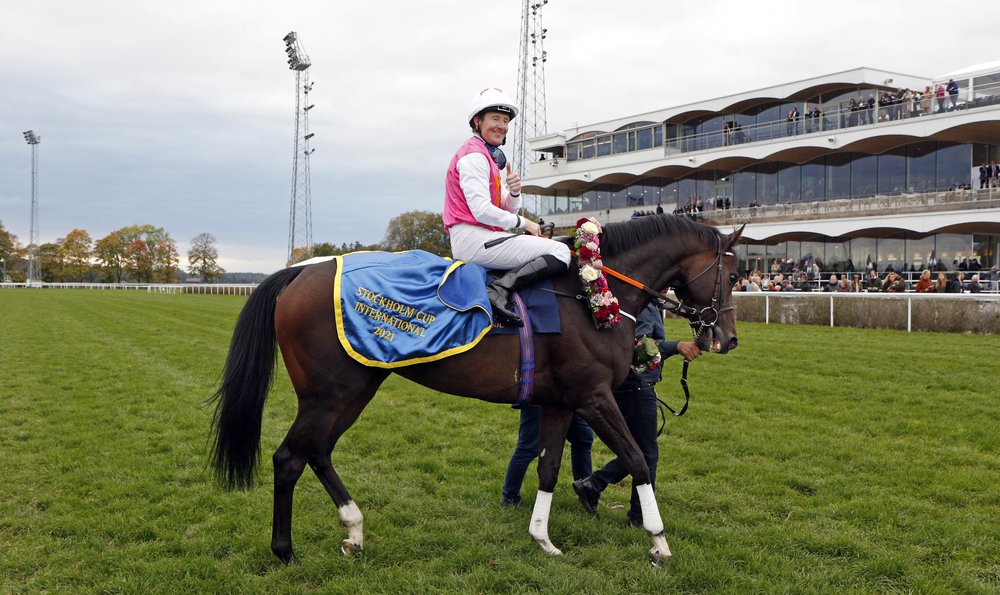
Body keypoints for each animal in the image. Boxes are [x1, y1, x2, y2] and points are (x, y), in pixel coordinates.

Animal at [209, 213, 744, 564]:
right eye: (735, 274)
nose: (726, 338)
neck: (590, 293)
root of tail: (302, 269)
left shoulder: (560, 402)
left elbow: (549, 467)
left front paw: (543, 539)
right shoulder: (594, 396)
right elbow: (637, 459)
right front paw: (659, 542)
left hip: (357, 386)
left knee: (317, 451)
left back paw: (354, 531)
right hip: (329, 393)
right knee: (289, 458)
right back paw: (284, 551)